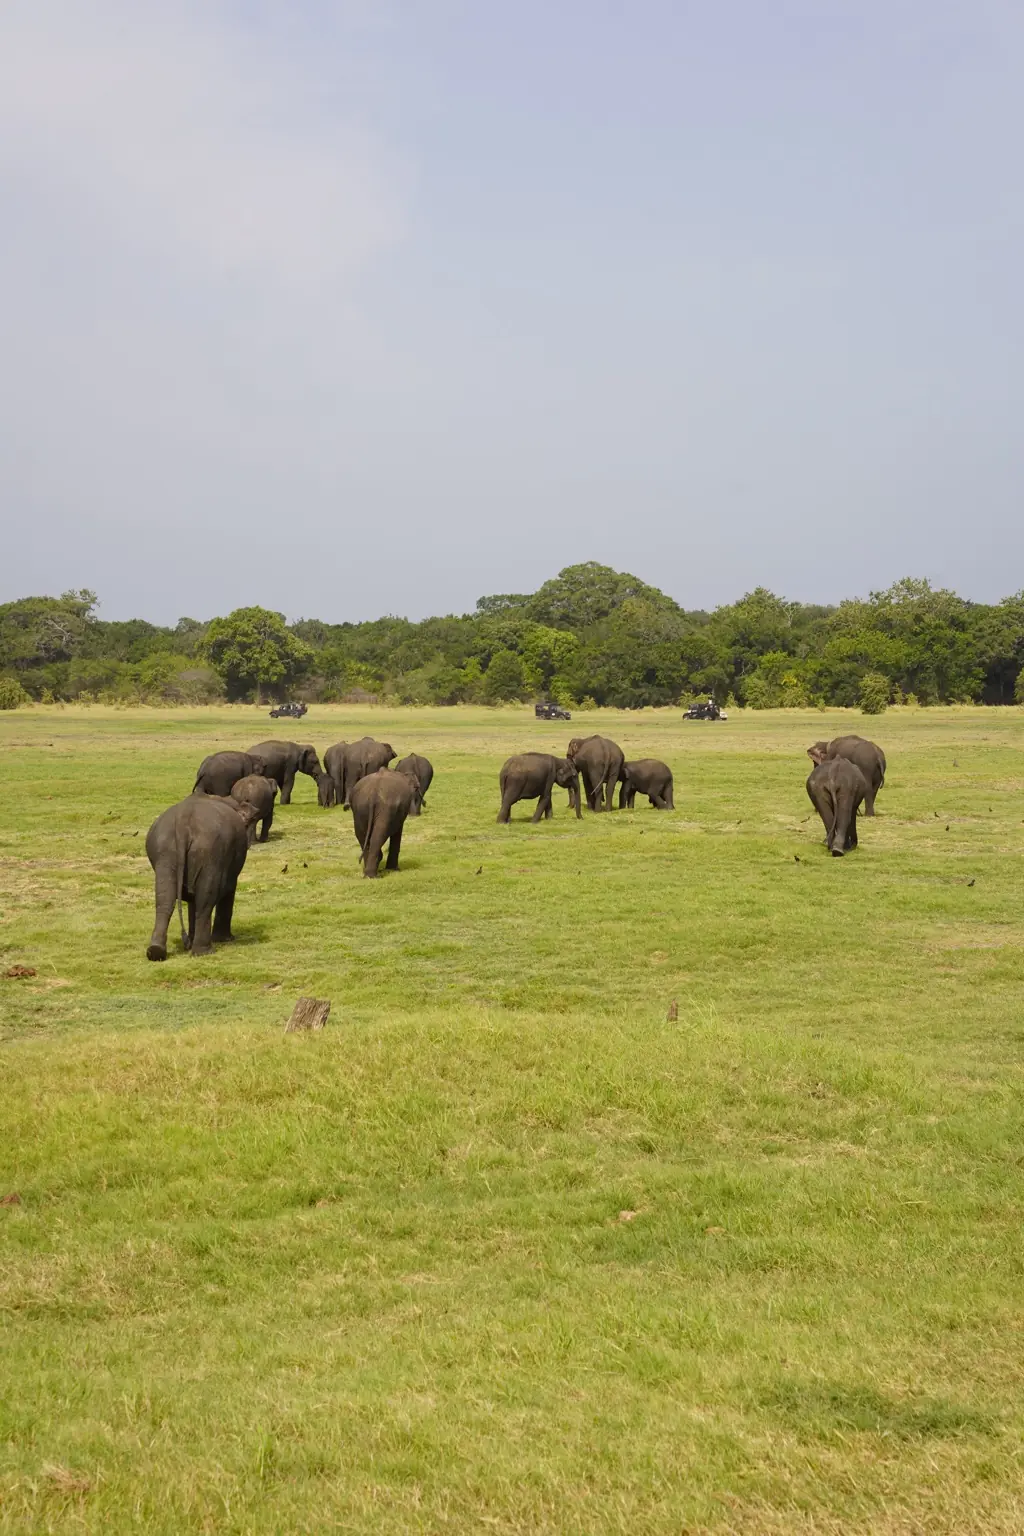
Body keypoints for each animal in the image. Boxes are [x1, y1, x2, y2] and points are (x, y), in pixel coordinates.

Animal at [145, 794, 256, 959]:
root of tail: (183, 821)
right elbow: (229, 890)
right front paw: (225, 939)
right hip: (211, 853)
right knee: (206, 899)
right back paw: (203, 952)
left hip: (164, 851)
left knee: (165, 899)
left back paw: (156, 951)